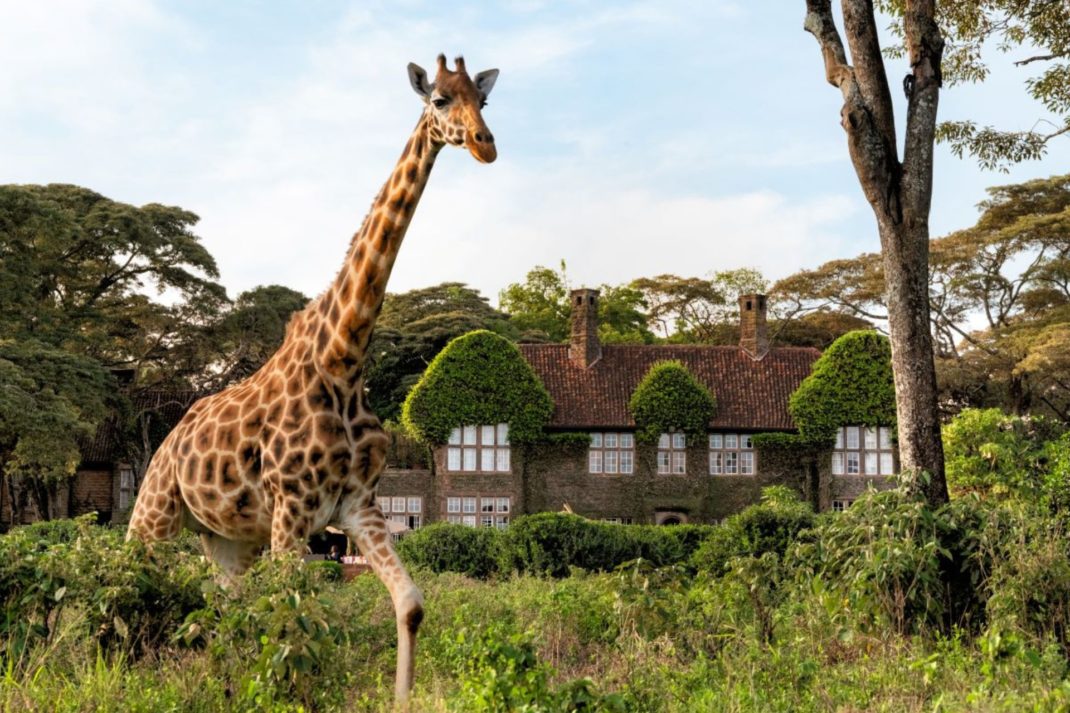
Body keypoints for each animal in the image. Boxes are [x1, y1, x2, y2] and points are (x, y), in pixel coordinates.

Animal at [127, 54, 499, 704]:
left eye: (484, 100)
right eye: (440, 101)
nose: (485, 144)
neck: (344, 359)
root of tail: (169, 438)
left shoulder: (356, 505)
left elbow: (409, 605)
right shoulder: (293, 509)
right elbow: (289, 618)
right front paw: (283, 697)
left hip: (229, 539)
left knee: (224, 604)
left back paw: (225, 685)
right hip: (155, 513)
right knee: (128, 580)